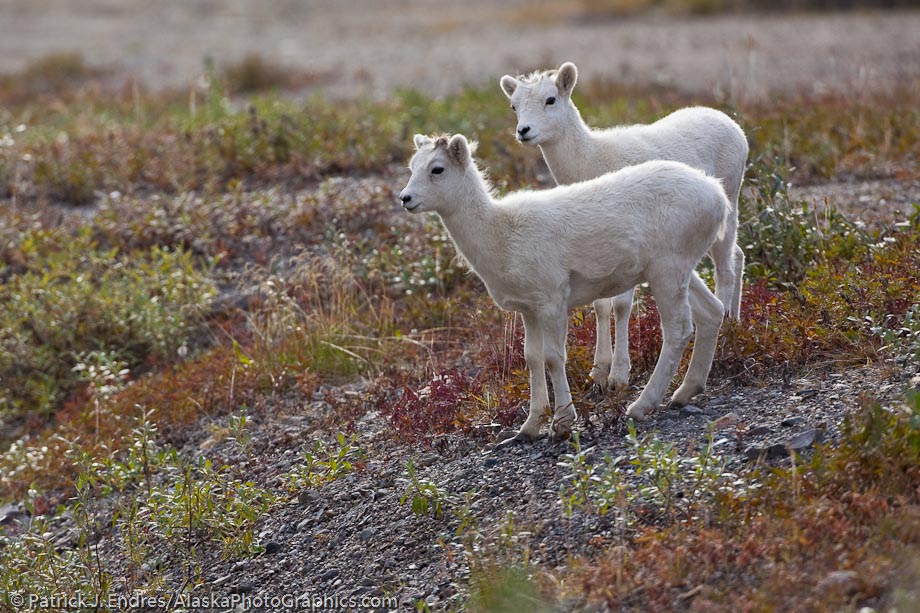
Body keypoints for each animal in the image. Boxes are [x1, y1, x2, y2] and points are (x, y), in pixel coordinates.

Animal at [398, 134, 728, 442]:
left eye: (437, 169)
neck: (500, 234)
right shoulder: (528, 310)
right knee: (712, 312)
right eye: (412, 167)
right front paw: (529, 428)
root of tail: (717, 194)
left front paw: (562, 424)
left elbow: (554, 358)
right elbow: (532, 359)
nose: (405, 199)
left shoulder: (552, 301)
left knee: (679, 329)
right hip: (680, 270)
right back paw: (685, 392)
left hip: (667, 272)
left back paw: (641, 405)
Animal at [504, 63, 748, 392]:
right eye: (514, 105)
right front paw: (598, 371)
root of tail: (730, 124)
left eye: (550, 99)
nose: (524, 131)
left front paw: (618, 375)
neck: (592, 159)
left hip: (730, 202)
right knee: (738, 254)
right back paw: (733, 321)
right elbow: (600, 306)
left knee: (726, 268)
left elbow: (621, 306)